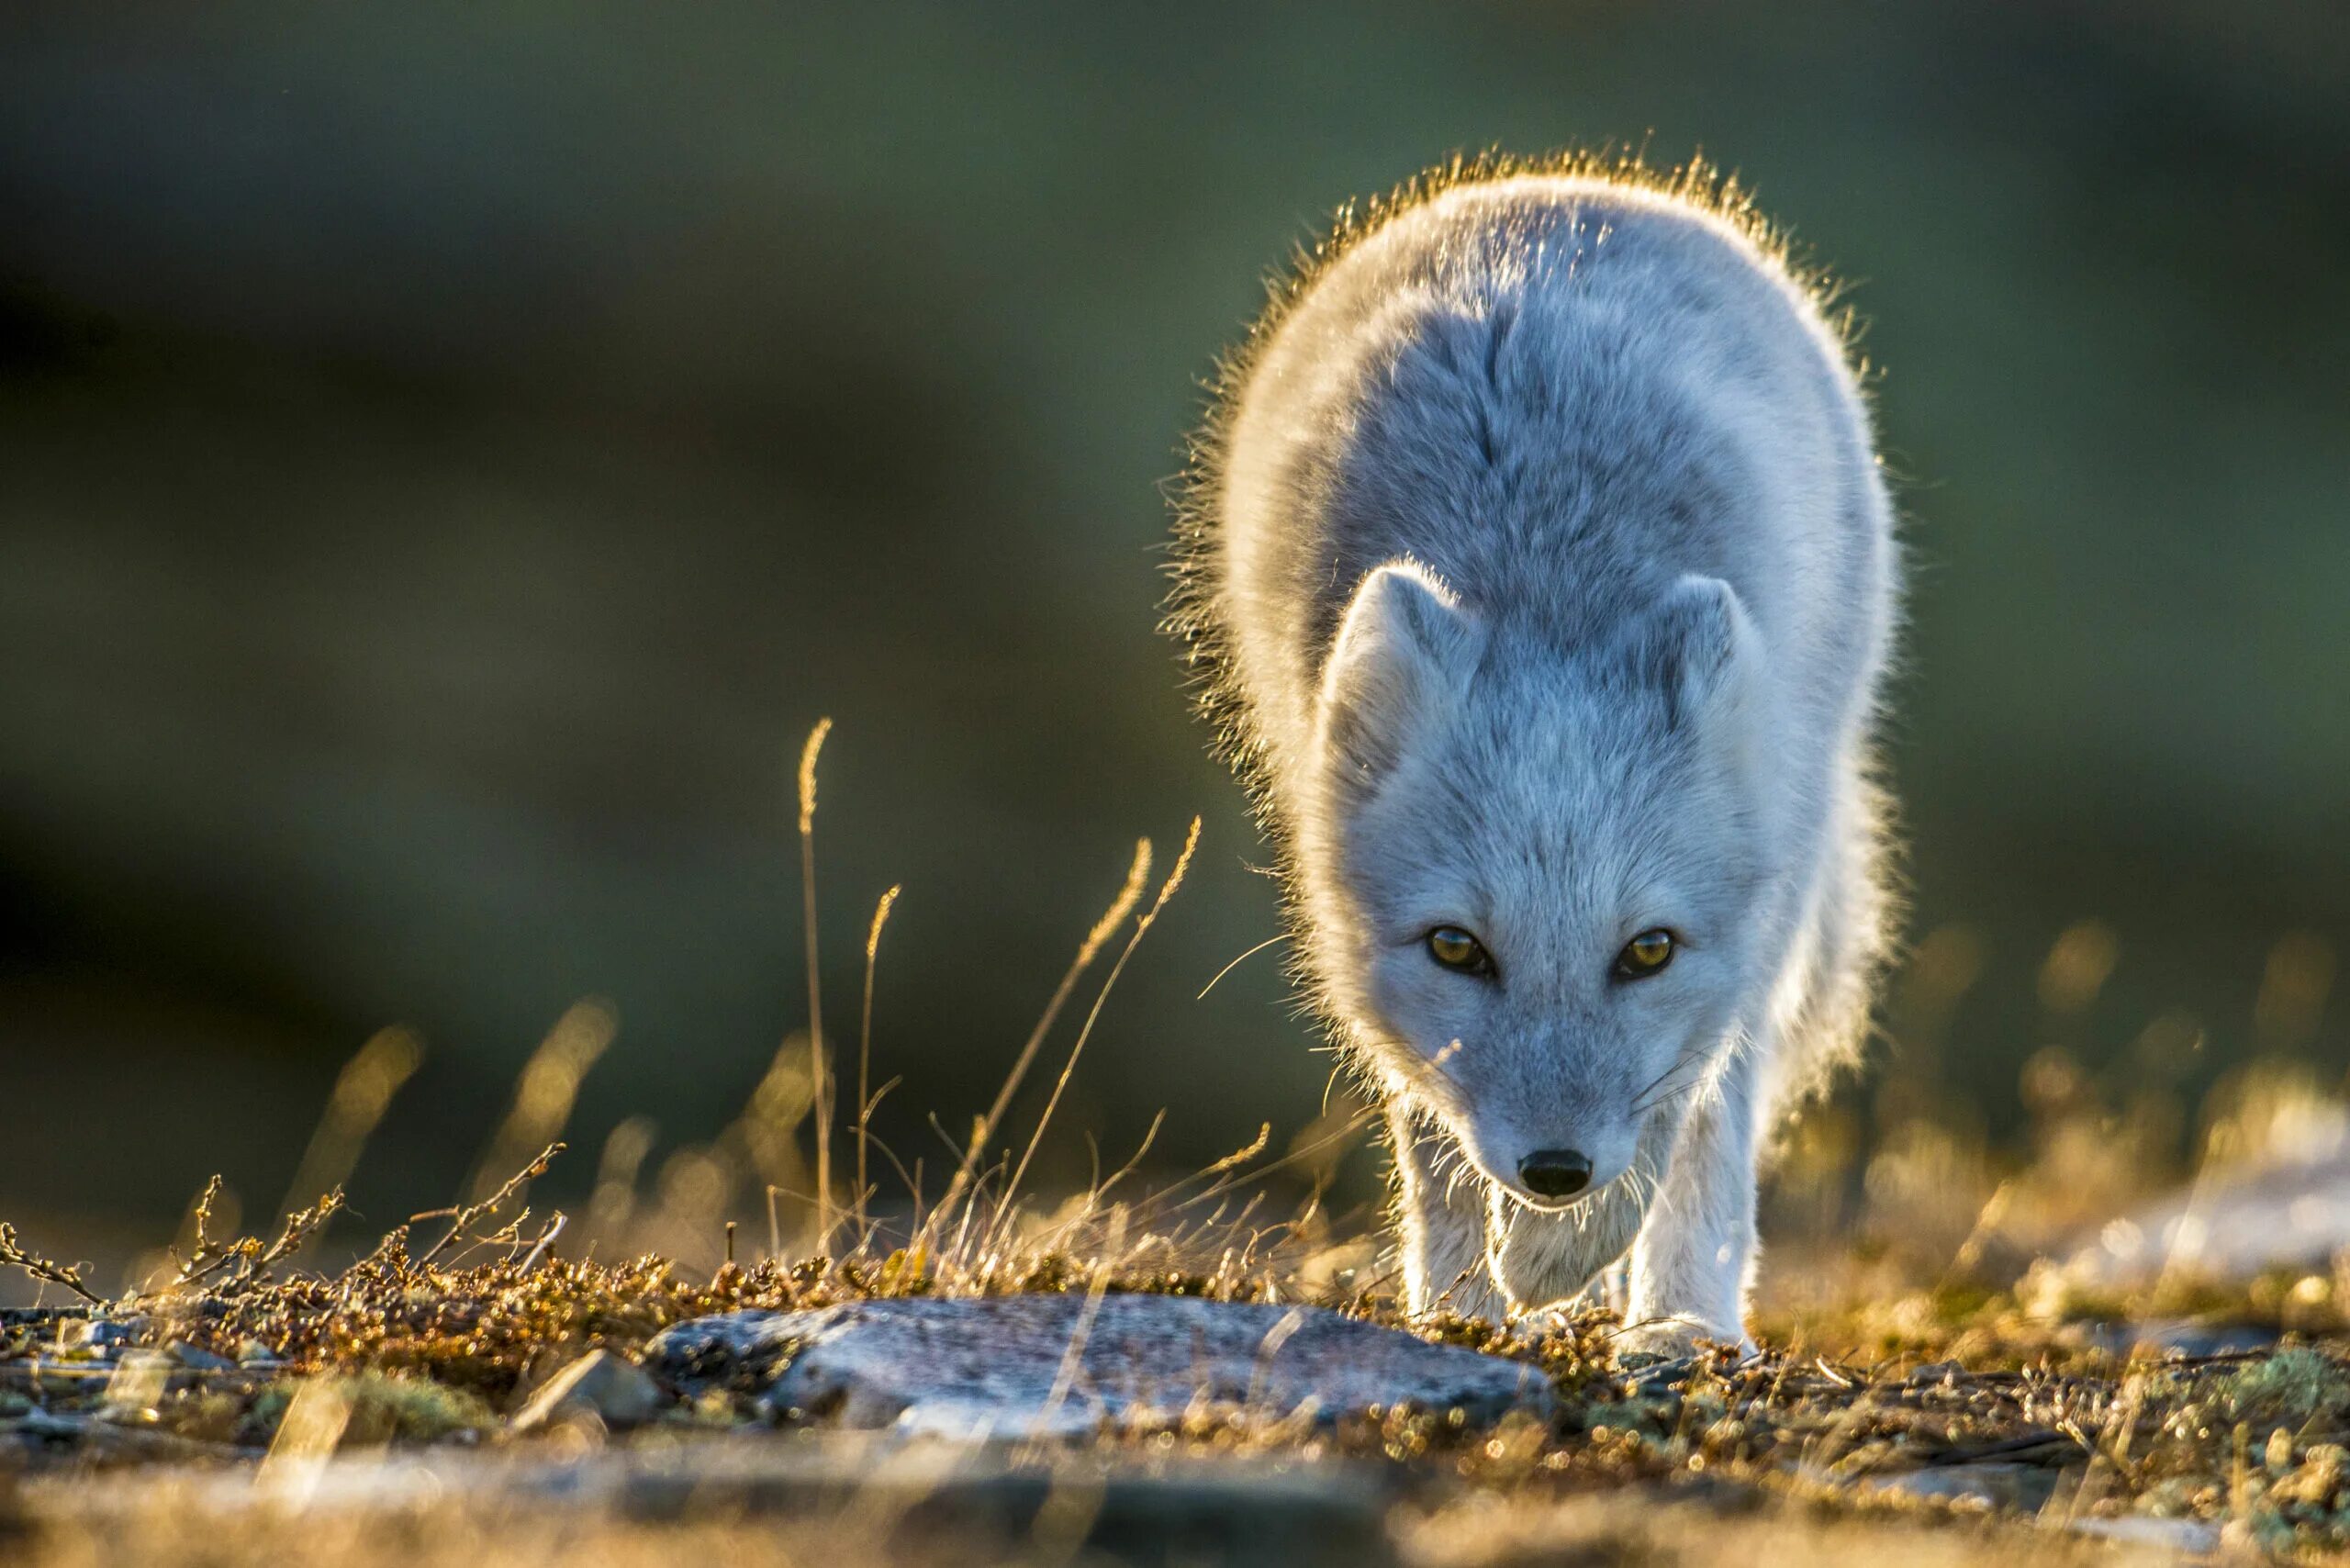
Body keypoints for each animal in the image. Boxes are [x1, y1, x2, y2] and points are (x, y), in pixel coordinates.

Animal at [1165, 160, 1898, 1353]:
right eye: (1457, 949)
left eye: (1646, 950)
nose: (1555, 1170)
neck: (1548, 575)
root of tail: (1559, 189)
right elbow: (1438, 1151)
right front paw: (1466, 1310)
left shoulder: (1745, 934)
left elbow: (1683, 1120)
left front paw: (1609, 1284)